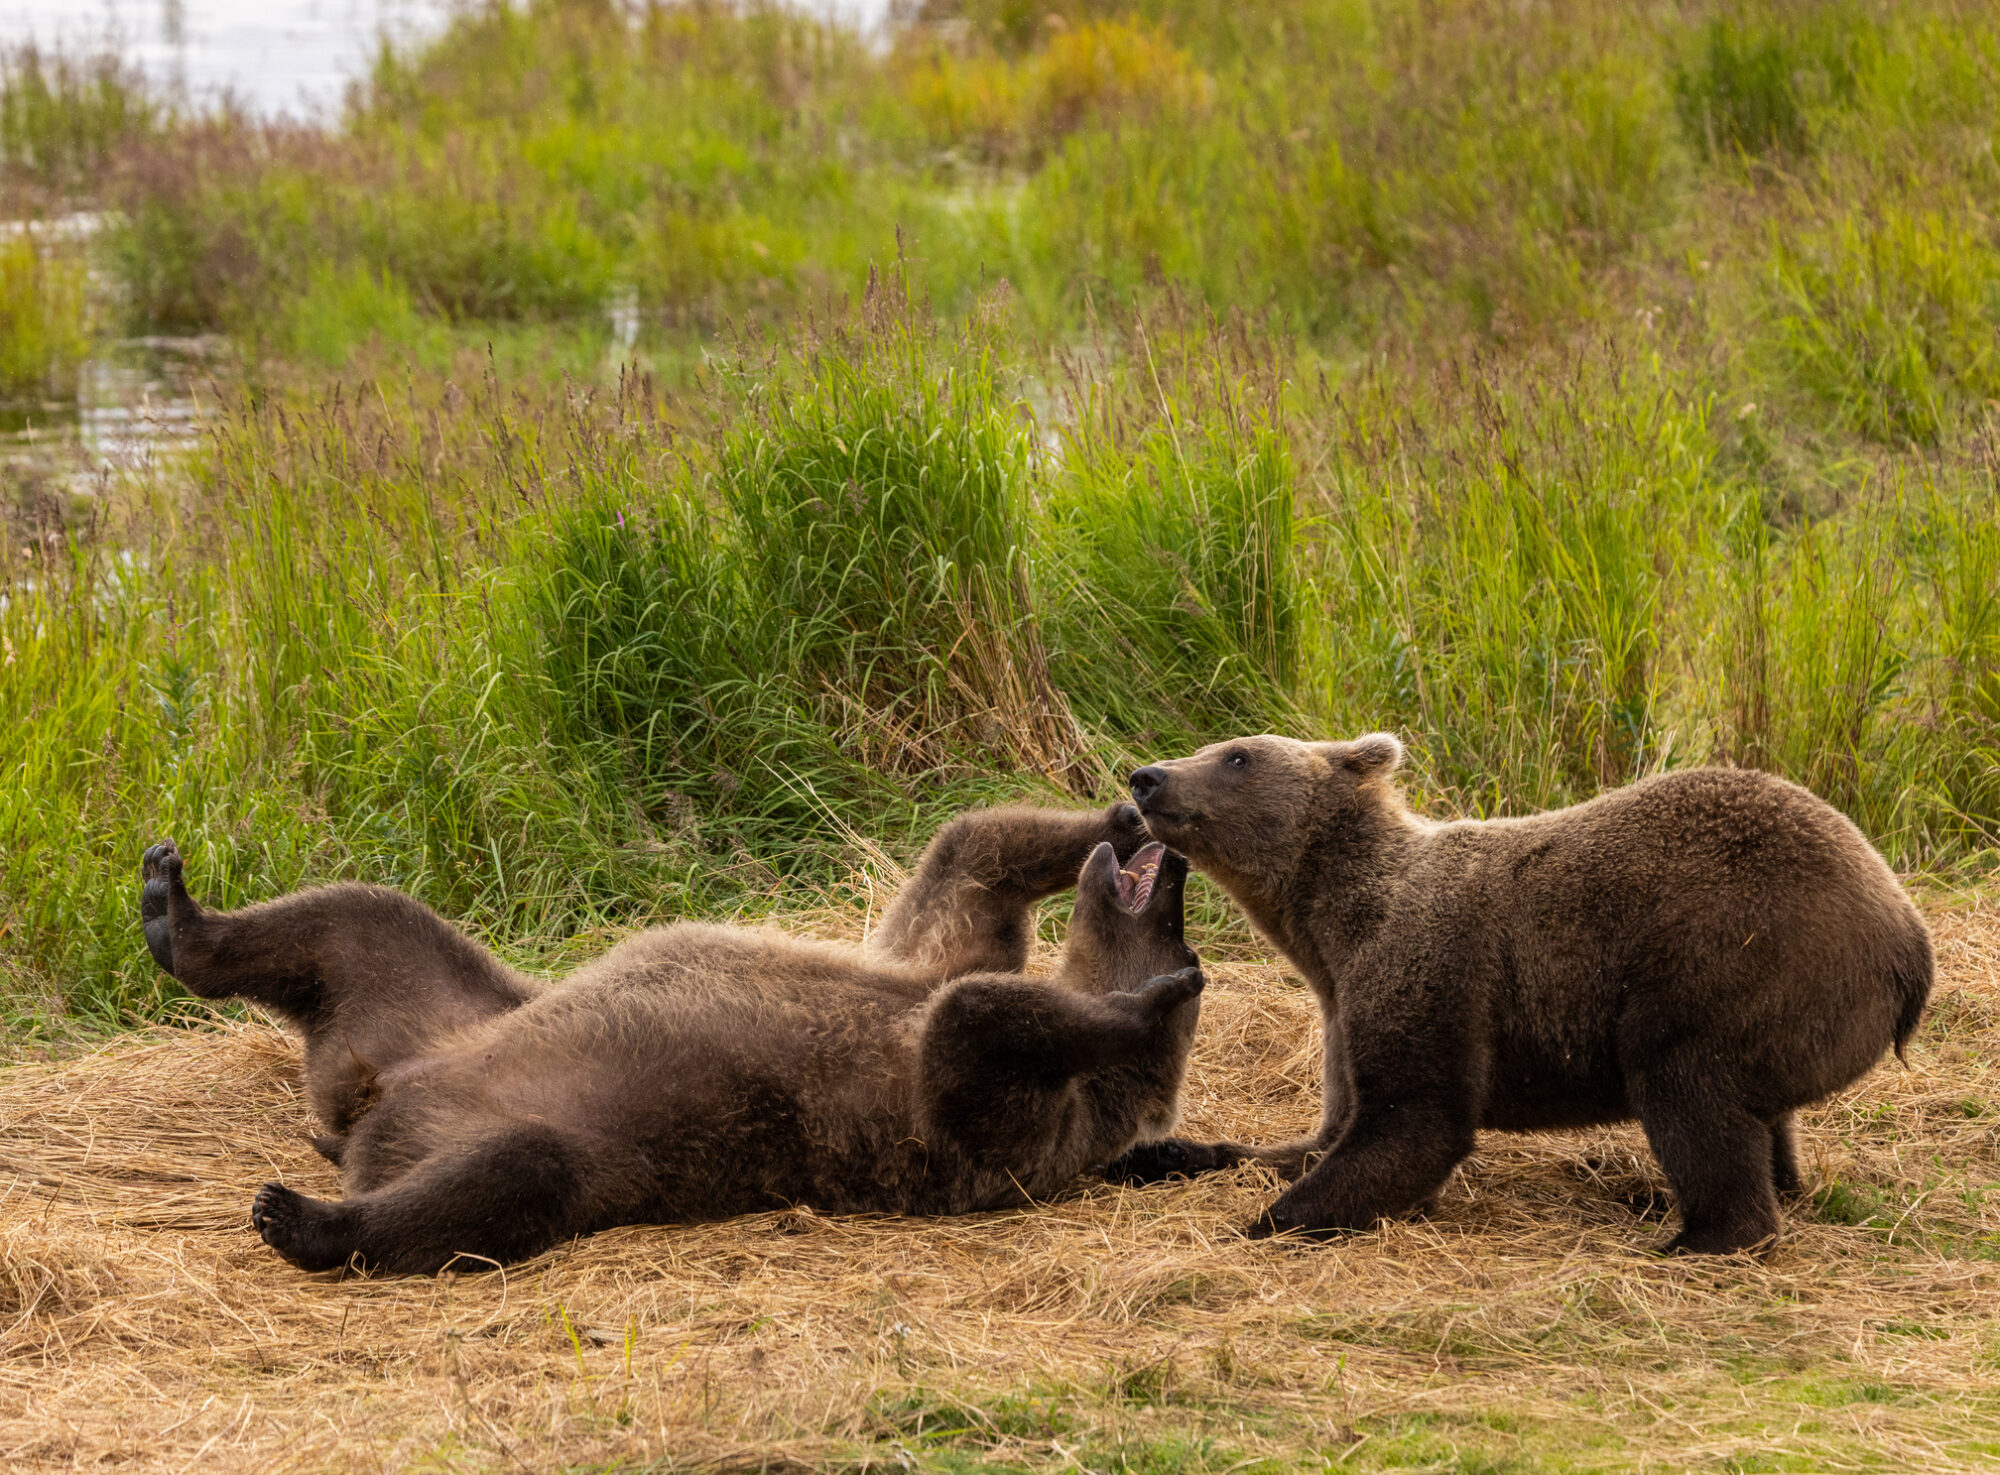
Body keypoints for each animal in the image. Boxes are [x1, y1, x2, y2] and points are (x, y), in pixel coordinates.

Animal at [137, 803, 1204, 1273]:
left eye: (1184, 926)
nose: (1176, 863)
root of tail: (361, 1110)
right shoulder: (919, 951)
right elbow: (970, 858)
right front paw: (1109, 815)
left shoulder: (987, 1122)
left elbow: (969, 1026)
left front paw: (1147, 1005)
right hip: (440, 1002)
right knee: (357, 916)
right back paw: (172, 908)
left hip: (561, 1133)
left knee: (503, 1175)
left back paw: (305, 1217)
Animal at [1109, 734, 1933, 1255]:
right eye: (1218, 746)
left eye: (1237, 756)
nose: (1146, 775)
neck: (1327, 927)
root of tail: (1907, 931)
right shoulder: (1339, 1006)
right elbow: (1321, 1133)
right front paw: (1162, 1154)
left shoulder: (1427, 970)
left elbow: (1413, 1122)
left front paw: (1265, 1221)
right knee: (1764, 1117)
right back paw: (1772, 1188)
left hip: (1735, 963)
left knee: (1688, 1090)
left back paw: (1698, 1237)